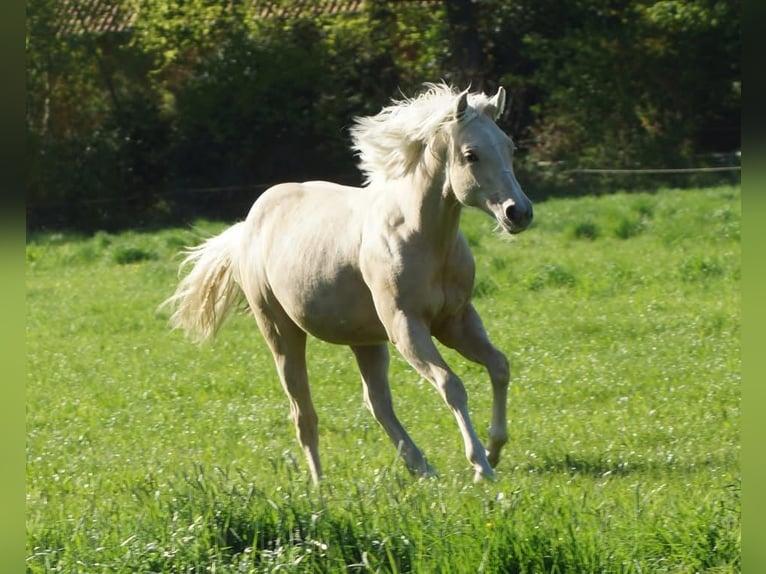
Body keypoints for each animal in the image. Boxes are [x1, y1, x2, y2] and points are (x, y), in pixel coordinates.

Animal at [162, 83, 533, 483]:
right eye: (471, 154)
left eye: (509, 146)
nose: (519, 212)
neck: (423, 236)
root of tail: (247, 225)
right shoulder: (407, 327)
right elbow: (452, 385)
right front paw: (481, 465)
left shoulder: (456, 321)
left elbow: (499, 366)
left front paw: (495, 448)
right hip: (281, 332)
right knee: (303, 412)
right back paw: (320, 483)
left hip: (365, 340)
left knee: (377, 403)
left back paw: (422, 468)